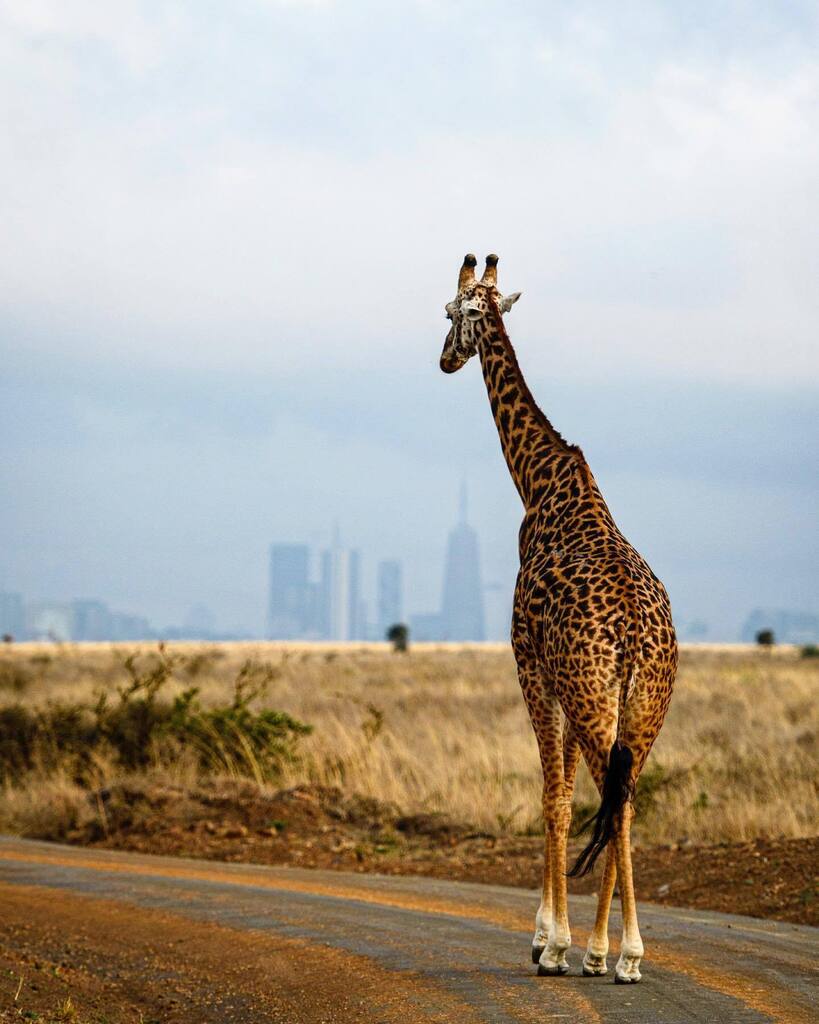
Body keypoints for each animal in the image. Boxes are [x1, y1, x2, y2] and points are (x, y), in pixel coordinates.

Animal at [442, 253, 679, 983]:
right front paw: (567, 939)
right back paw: (619, 952)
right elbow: (571, 792)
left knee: (608, 795)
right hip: (642, 706)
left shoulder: (531, 667)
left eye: (450, 311)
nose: (443, 359)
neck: (539, 479)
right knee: (625, 798)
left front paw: (548, 941)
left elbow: (552, 795)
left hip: (593, 696)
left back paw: (617, 952)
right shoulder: (567, 685)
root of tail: (635, 636)